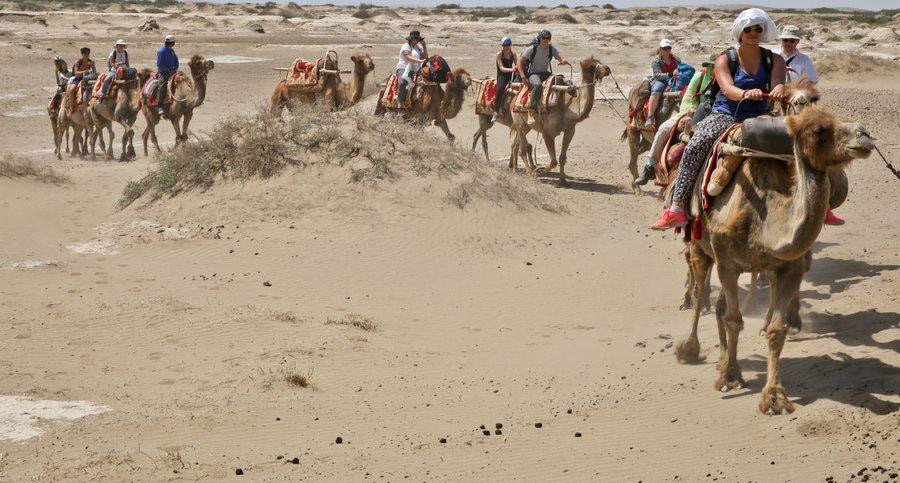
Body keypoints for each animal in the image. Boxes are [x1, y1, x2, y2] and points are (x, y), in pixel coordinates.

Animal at [472, 61, 612, 162]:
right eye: (593, 66)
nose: (607, 69)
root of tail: (484, 80)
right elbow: (521, 146)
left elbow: (519, 146)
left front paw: (515, 166)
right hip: (484, 116)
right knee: (483, 139)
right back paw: (487, 160)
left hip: (489, 121)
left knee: (478, 134)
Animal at [506, 57, 612, 185]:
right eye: (591, 66)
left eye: (599, 62)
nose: (607, 69)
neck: (568, 109)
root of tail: (515, 97)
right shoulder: (547, 133)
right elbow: (553, 161)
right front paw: (539, 171)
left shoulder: (570, 130)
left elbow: (562, 158)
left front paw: (563, 181)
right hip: (519, 121)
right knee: (522, 148)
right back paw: (529, 172)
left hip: (526, 126)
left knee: (516, 145)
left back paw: (515, 170)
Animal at [672, 106, 876, 416]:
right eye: (819, 130)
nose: (864, 135)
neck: (765, 220)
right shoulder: (727, 261)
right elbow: (733, 320)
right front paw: (730, 378)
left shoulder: (789, 267)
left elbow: (775, 330)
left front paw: (774, 397)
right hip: (701, 246)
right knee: (699, 293)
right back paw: (690, 349)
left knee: (719, 305)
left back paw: (723, 360)